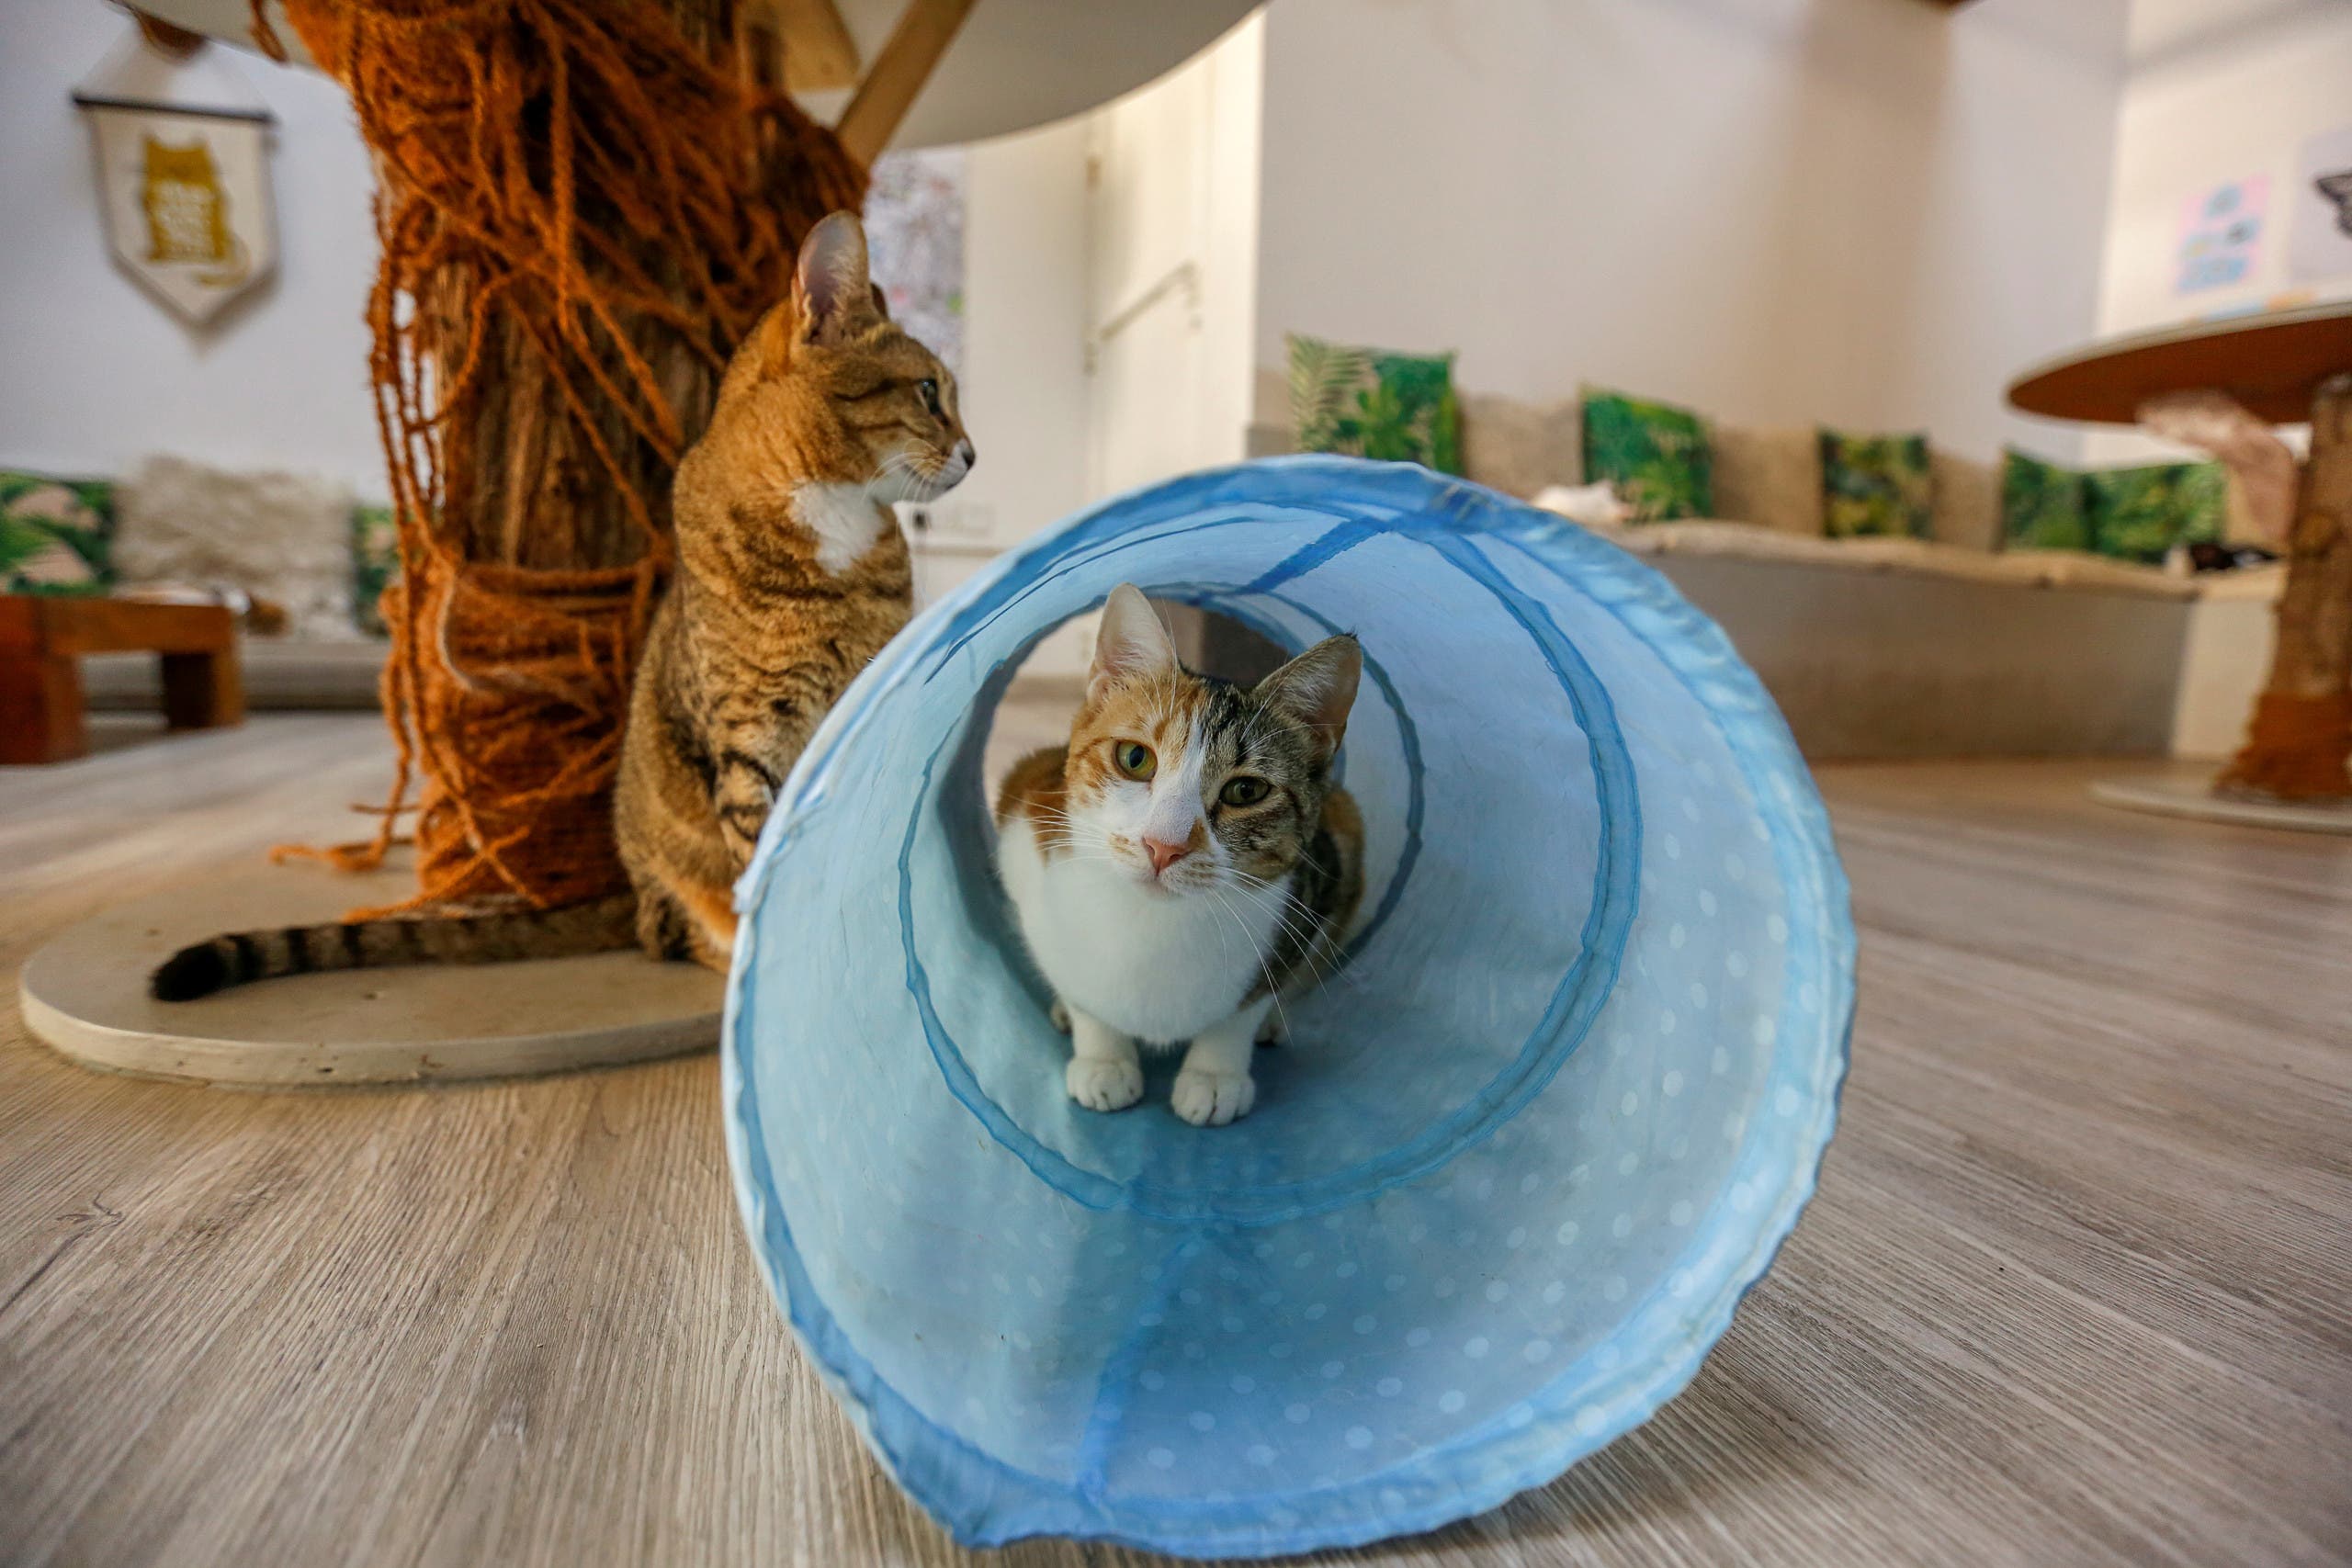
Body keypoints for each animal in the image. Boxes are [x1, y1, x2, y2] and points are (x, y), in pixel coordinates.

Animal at [152, 208, 968, 1001]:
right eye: (930, 392)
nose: (973, 452)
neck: (838, 526)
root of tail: (630, 887)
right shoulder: (750, 739)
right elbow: (770, 868)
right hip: (674, 877)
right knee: (673, 933)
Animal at [988, 582, 1363, 1123]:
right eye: (1134, 758)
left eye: (1246, 791)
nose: (1163, 846)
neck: (1152, 923)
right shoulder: (1025, 830)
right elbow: (1079, 987)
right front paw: (1102, 1056)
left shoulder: (1312, 893)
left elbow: (1246, 1005)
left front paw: (1215, 1072)